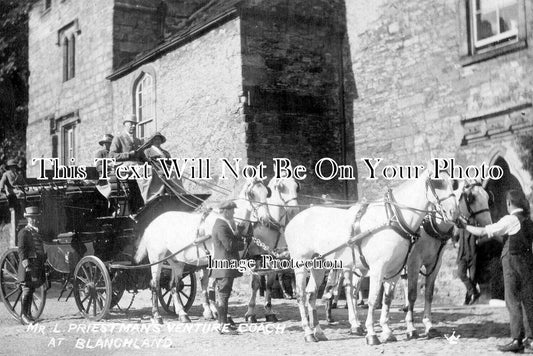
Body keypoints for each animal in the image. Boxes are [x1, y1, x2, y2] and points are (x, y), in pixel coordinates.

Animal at [135, 177, 272, 324]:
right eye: (252, 194)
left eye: (266, 193)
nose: (265, 219)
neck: (230, 222)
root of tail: (152, 224)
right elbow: (215, 286)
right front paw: (220, 314)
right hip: (157, 258)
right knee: (155, 284)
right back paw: (156, 315)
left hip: (176, 261)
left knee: (174, 285)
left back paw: (182, 314)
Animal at [244, 177, 302, 322]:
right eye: (281, 187)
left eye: (296, 186)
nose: (294, 211)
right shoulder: (256, 257)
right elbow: (255, 284)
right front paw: (250, 313)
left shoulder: (273, 258)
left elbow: (269, 284)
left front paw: (269, 311)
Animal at [282, 168, 458, 344]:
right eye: (437, 182)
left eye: (454, 183)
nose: (454, 213)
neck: (393, 219)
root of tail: (294, 220)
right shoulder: (382, 268)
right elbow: (373, 299)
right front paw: (373, 334)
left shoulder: (395, 269)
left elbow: (388, 298)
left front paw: (387, 331)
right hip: (301, 263)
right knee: (301, 295)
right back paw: (308, 332)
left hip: (319, 264)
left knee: (311, 294)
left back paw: (318, 331)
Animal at [404, 181, 494, 340]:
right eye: (472, 198)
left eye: (488, 197)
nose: (489, 224)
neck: (429, 224)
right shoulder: (413, 262)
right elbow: (412, 294)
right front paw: (411, 327)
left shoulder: (435, 263)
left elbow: (429, 293)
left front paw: (429, 325)